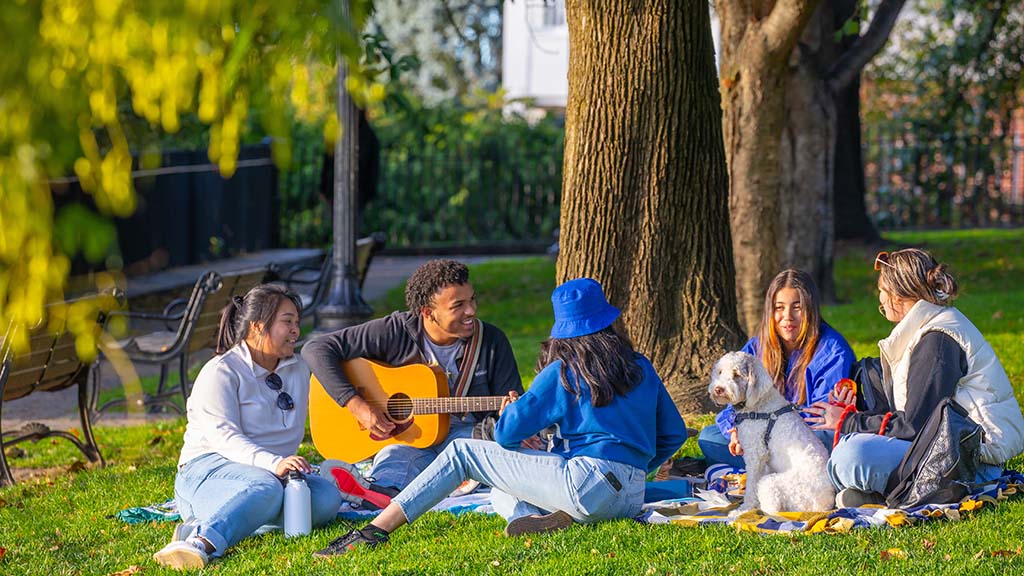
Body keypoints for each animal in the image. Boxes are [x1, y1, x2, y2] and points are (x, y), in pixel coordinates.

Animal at [708, 350, 835, 510]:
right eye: (720, 372)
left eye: (736, 374)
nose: (718, 389)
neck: (757, 404)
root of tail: (825, 505)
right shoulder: (764, 459)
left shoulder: (755, 455)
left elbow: (752, 486)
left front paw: (745, 508)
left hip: (774, 485)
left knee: (772, 509)